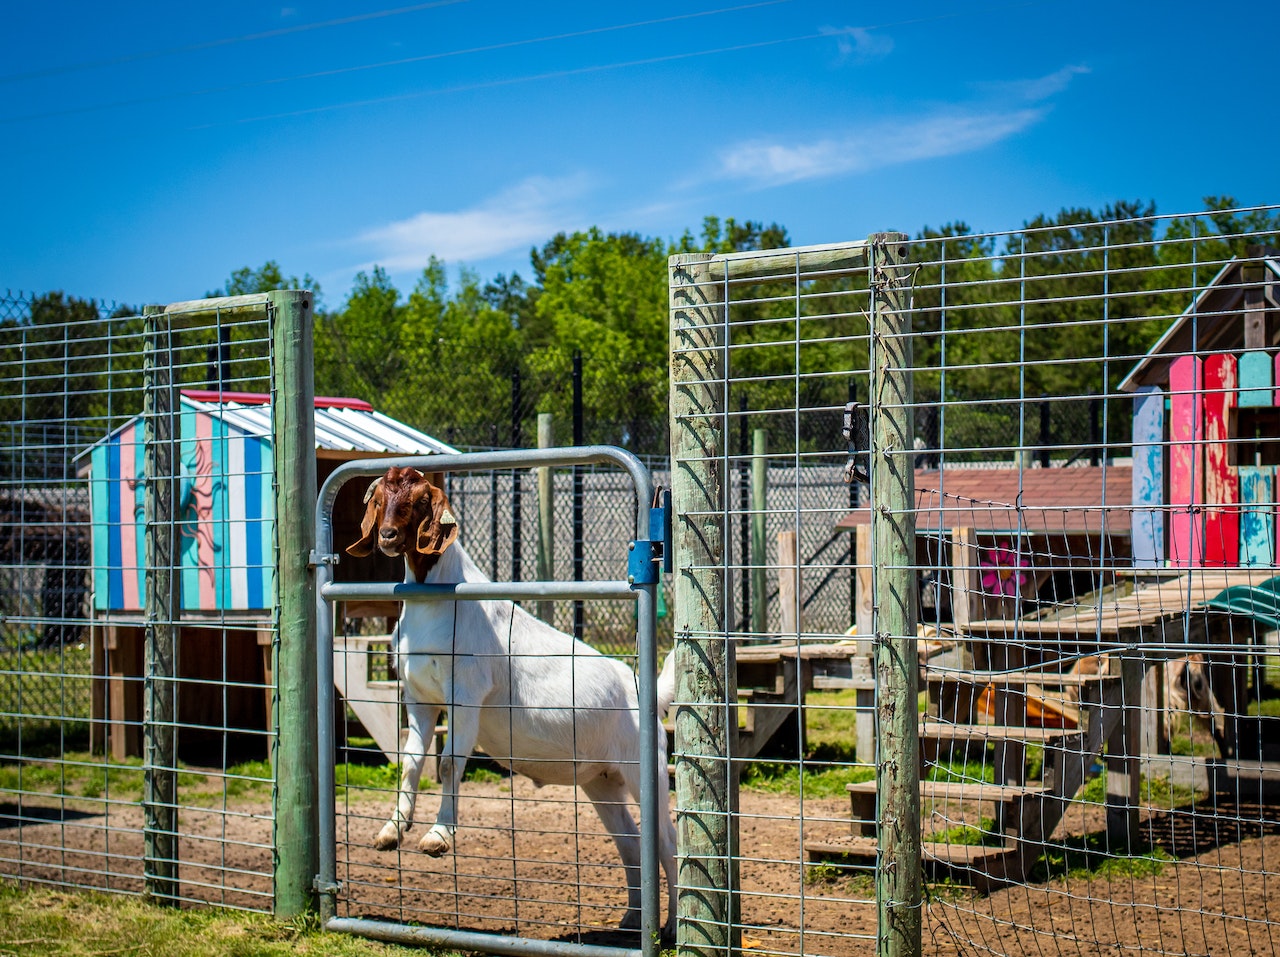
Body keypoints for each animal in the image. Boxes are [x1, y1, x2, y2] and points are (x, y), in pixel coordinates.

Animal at [346, 466, 678, 935]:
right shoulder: (419, 698)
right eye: (380, 498)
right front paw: (392, 830)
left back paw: (669, 929)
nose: (388, 535)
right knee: (631, 842)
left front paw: (437, 837)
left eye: (421, 500)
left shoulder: (466, 692)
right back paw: (631, 921)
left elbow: (448, 764)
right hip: (602, 780)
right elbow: (411, 762)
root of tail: (644, 690)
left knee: (666, 842)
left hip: (643, 768)